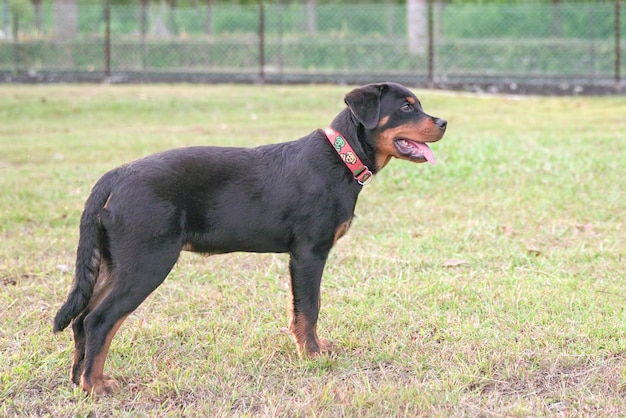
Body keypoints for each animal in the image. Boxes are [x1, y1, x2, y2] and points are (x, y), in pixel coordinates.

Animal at [52, 82, 444, 396]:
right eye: (406, 107)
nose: (443, 123)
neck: (341, 157)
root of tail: (116, 176)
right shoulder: (309, 252)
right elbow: (309, 307)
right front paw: (312, 355)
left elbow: (303, 309)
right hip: (147, 262)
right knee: (99, 320)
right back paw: (96, 385)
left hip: (114, 263)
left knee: (81, 319)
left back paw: (79, 380)